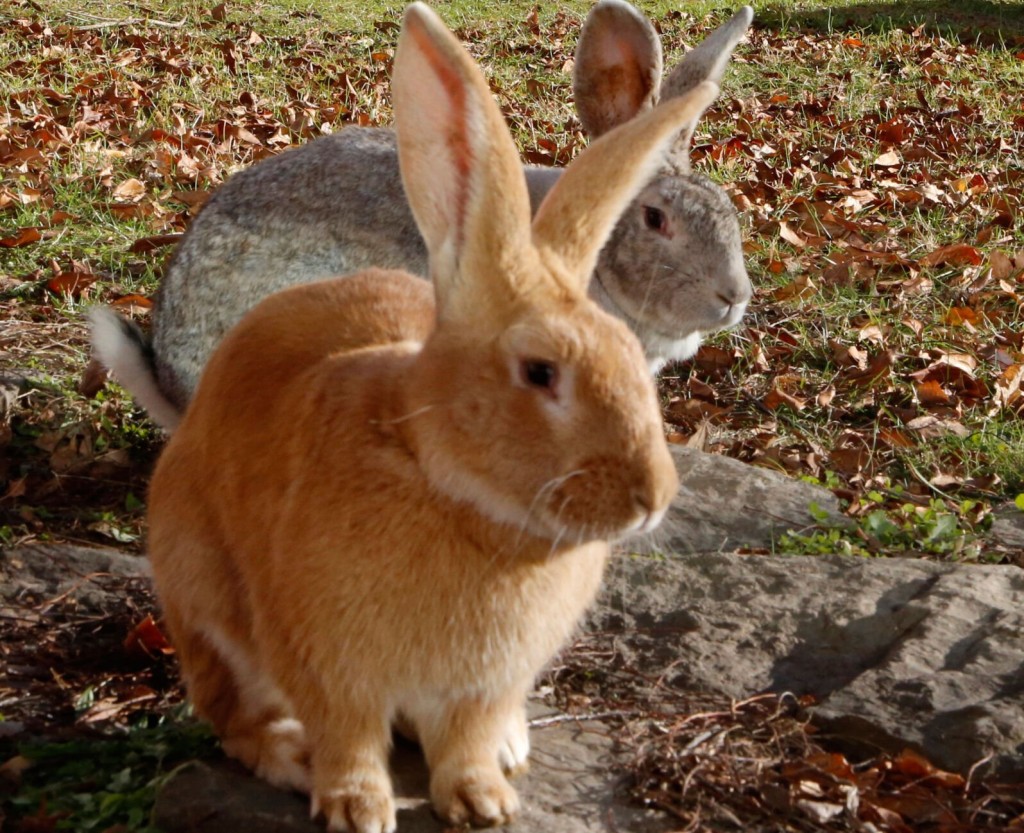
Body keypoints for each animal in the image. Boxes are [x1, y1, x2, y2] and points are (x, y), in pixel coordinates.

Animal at [139, 2, 715, 828]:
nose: (652, 498)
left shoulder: (486, 683)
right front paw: (357, 808)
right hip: (201, 596)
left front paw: (483, 800)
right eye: (540, 373)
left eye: (630, 360)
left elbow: (465, 739)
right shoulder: (325, 661)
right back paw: (289, 756)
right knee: (232, 709)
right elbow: (346, 733)